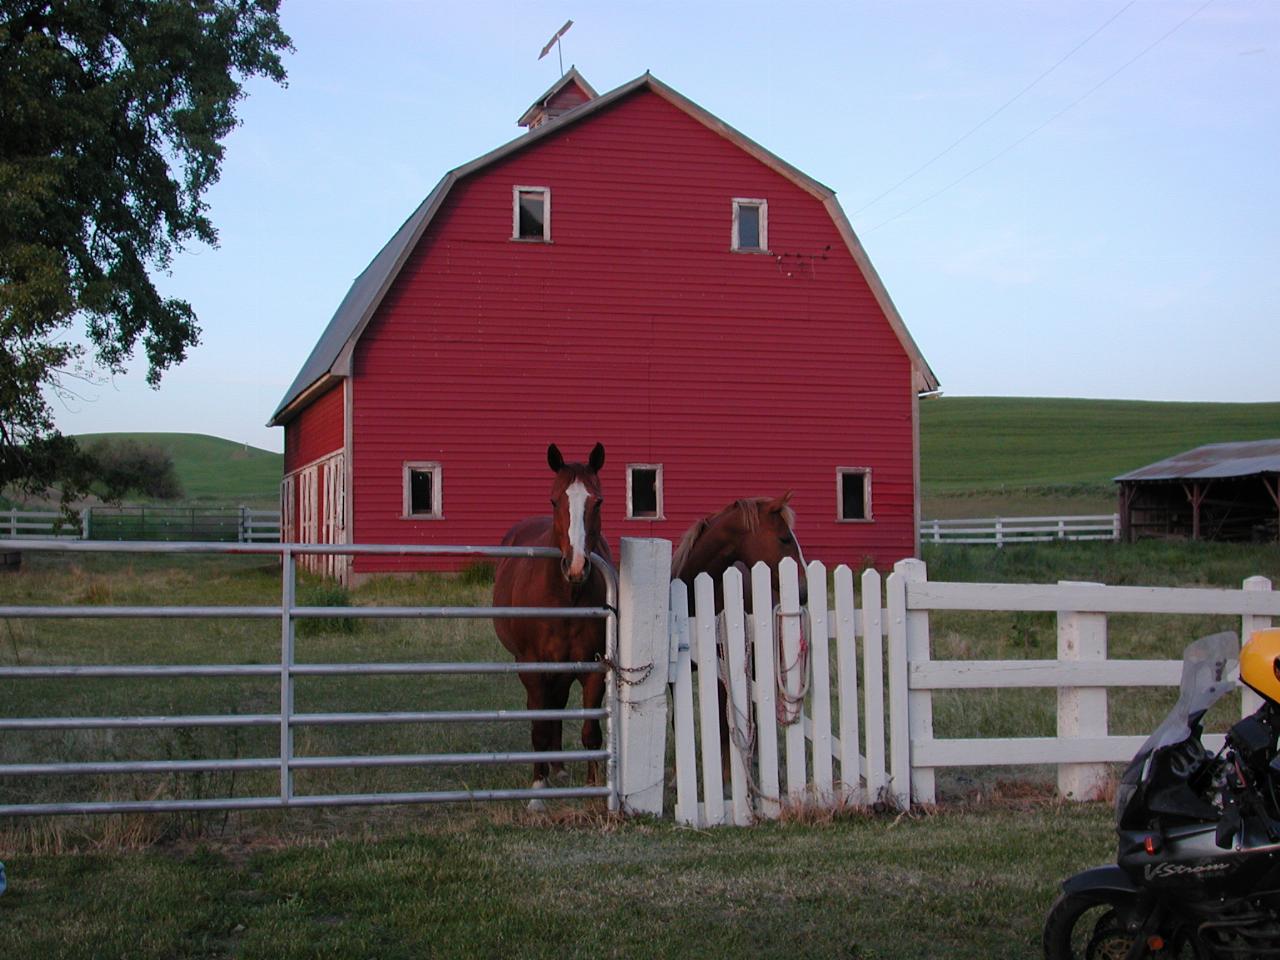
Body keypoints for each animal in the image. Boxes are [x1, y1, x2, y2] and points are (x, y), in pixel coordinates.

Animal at [492, 442, 612, 804]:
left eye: (597, 501)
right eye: (554, 500)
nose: (576, 566)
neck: (565, 594)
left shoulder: (593, 666)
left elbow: (590, 731)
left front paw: (592, 787)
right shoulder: (532, 665)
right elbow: (540, 725)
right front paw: (537, 790)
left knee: (557, 703)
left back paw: (558, 768)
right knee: (543, 709)